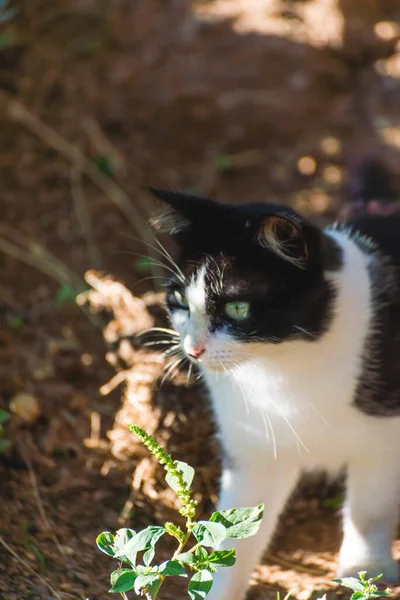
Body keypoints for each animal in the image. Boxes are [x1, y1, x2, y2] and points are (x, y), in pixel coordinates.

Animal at [149, 184, 400, 600]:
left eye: (237, 308)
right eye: (181, 301)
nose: (192, 349)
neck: (280, 367)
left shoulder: (385, 438)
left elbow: (369, 510)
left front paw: (366, 572)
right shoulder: (253, 447)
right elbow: (234, 531)